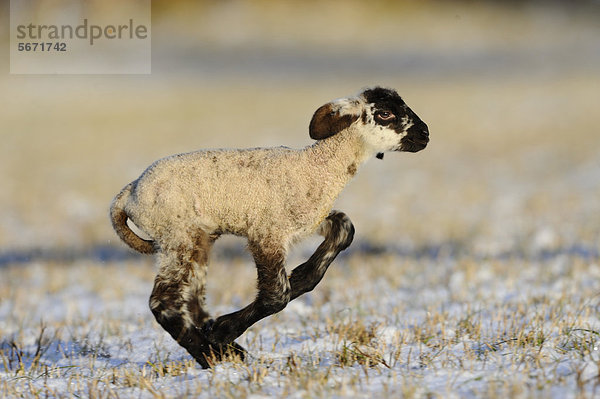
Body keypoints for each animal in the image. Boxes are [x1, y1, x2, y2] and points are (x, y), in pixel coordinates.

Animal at [108, 86, 426, 368]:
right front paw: (223, 329)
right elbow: (276, 296)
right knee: (164, 303)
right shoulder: (266, 232)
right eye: (385, 113)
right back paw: (214, 354)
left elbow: (344, 230)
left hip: (198, 238)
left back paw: (225, 350)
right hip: (177, 235)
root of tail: (129, 193)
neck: (316, 168)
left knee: (192, 299)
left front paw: (300, 277)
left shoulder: (306, 222)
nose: (425, 134)